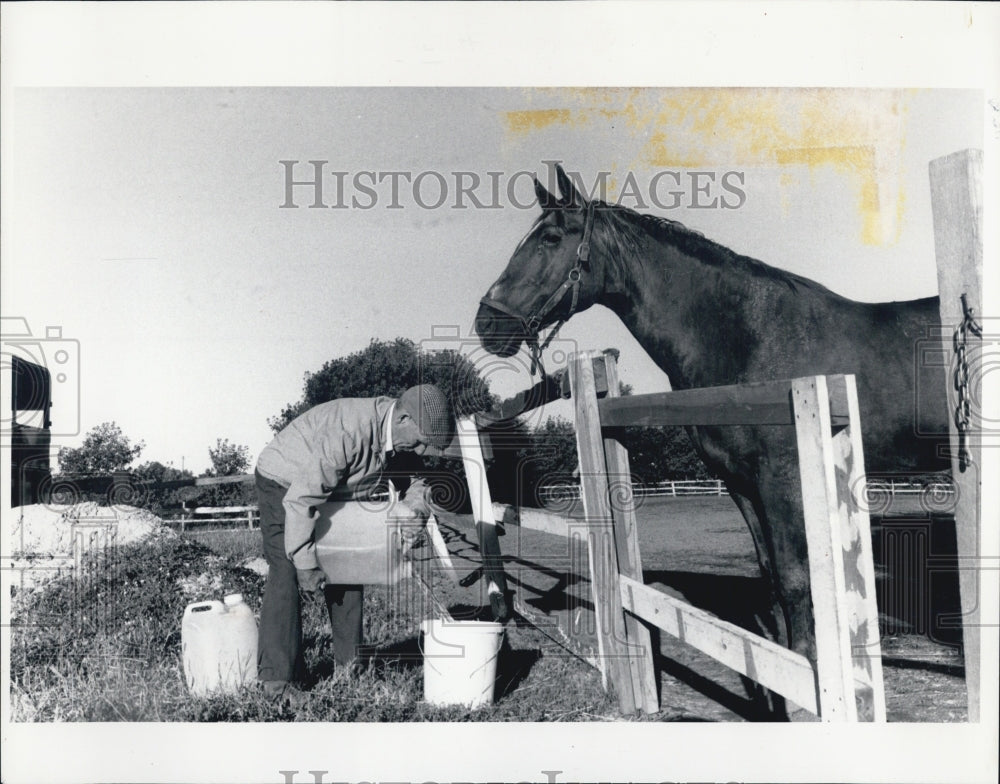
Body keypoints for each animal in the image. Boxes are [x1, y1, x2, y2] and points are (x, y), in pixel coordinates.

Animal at [474, 164, 944, 716]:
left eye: (550, 238)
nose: (487, 323)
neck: (751, 337)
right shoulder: (742, 486)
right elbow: (772, 582)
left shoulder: (783, 482)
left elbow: (797, 578)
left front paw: (807, 697)